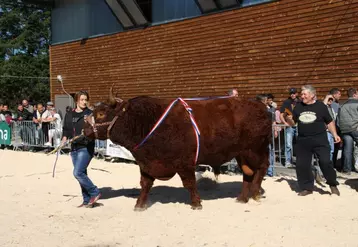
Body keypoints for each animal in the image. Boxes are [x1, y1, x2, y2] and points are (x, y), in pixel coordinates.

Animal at [83, 89, 272, 210]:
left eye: (101, 114)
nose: (85, 130)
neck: (147, 121)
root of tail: (260, 106)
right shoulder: (146, 163)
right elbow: (145, 184)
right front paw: (139, 205)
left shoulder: (185, 162)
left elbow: (189, 183)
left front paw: (196, 203)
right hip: (241, 154)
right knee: (248, 173)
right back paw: (242, 198)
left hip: (256, 149)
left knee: (262, 168)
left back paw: (255, 193)